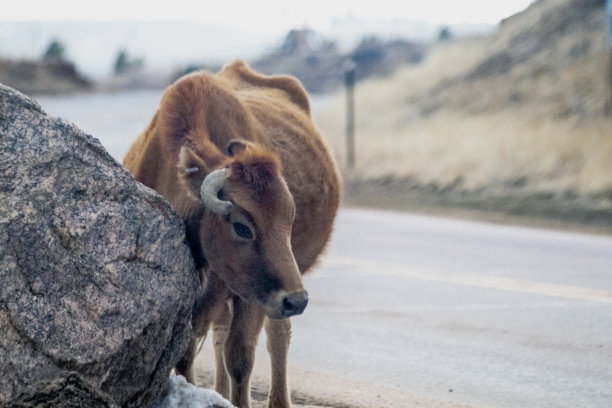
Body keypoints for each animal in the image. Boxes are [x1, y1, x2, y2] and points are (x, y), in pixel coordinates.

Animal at [122, 61, 342, 408]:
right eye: (241, 226)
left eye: (289, 219)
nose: (296, 299)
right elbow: (187, 353)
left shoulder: (249, 295)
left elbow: (240, 357)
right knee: (222, 333)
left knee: (278, 336)